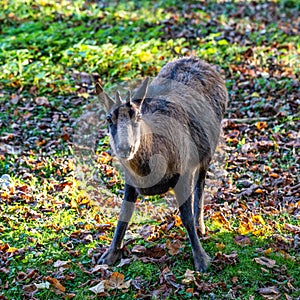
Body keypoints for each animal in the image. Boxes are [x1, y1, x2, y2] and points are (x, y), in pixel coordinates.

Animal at [96, 56, 227, 272]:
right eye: (108, 118)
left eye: (138, 116)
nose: (125, 148)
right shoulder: (130, 180)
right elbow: (124, 212)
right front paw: (109, 255)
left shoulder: (183, 172)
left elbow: (186, 217)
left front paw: (201, 259)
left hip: (209, 147)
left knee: (200, 182)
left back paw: (200, 225)